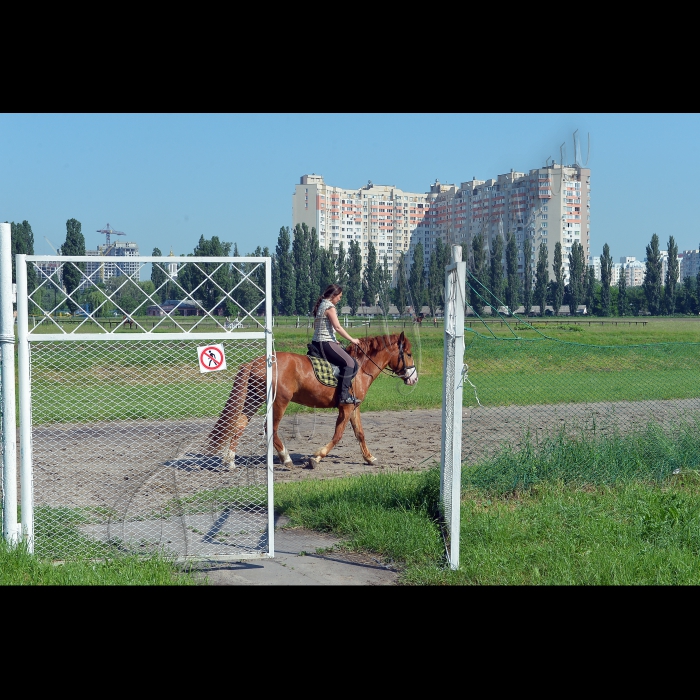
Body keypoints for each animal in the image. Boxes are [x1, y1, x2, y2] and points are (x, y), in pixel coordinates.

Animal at [205, 332, 418, 470]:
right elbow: (337, 435)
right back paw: (286, 458)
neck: (361, 367)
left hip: (253, 400)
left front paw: (369, 457)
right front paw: (316, 457)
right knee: (270, 428)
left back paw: (230, 460)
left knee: (239, 424)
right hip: (279, 402)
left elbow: (360, 434)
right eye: (408, 354)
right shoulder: (346, 407)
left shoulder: (354, 407)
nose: (414, 379)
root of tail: (256, 361)